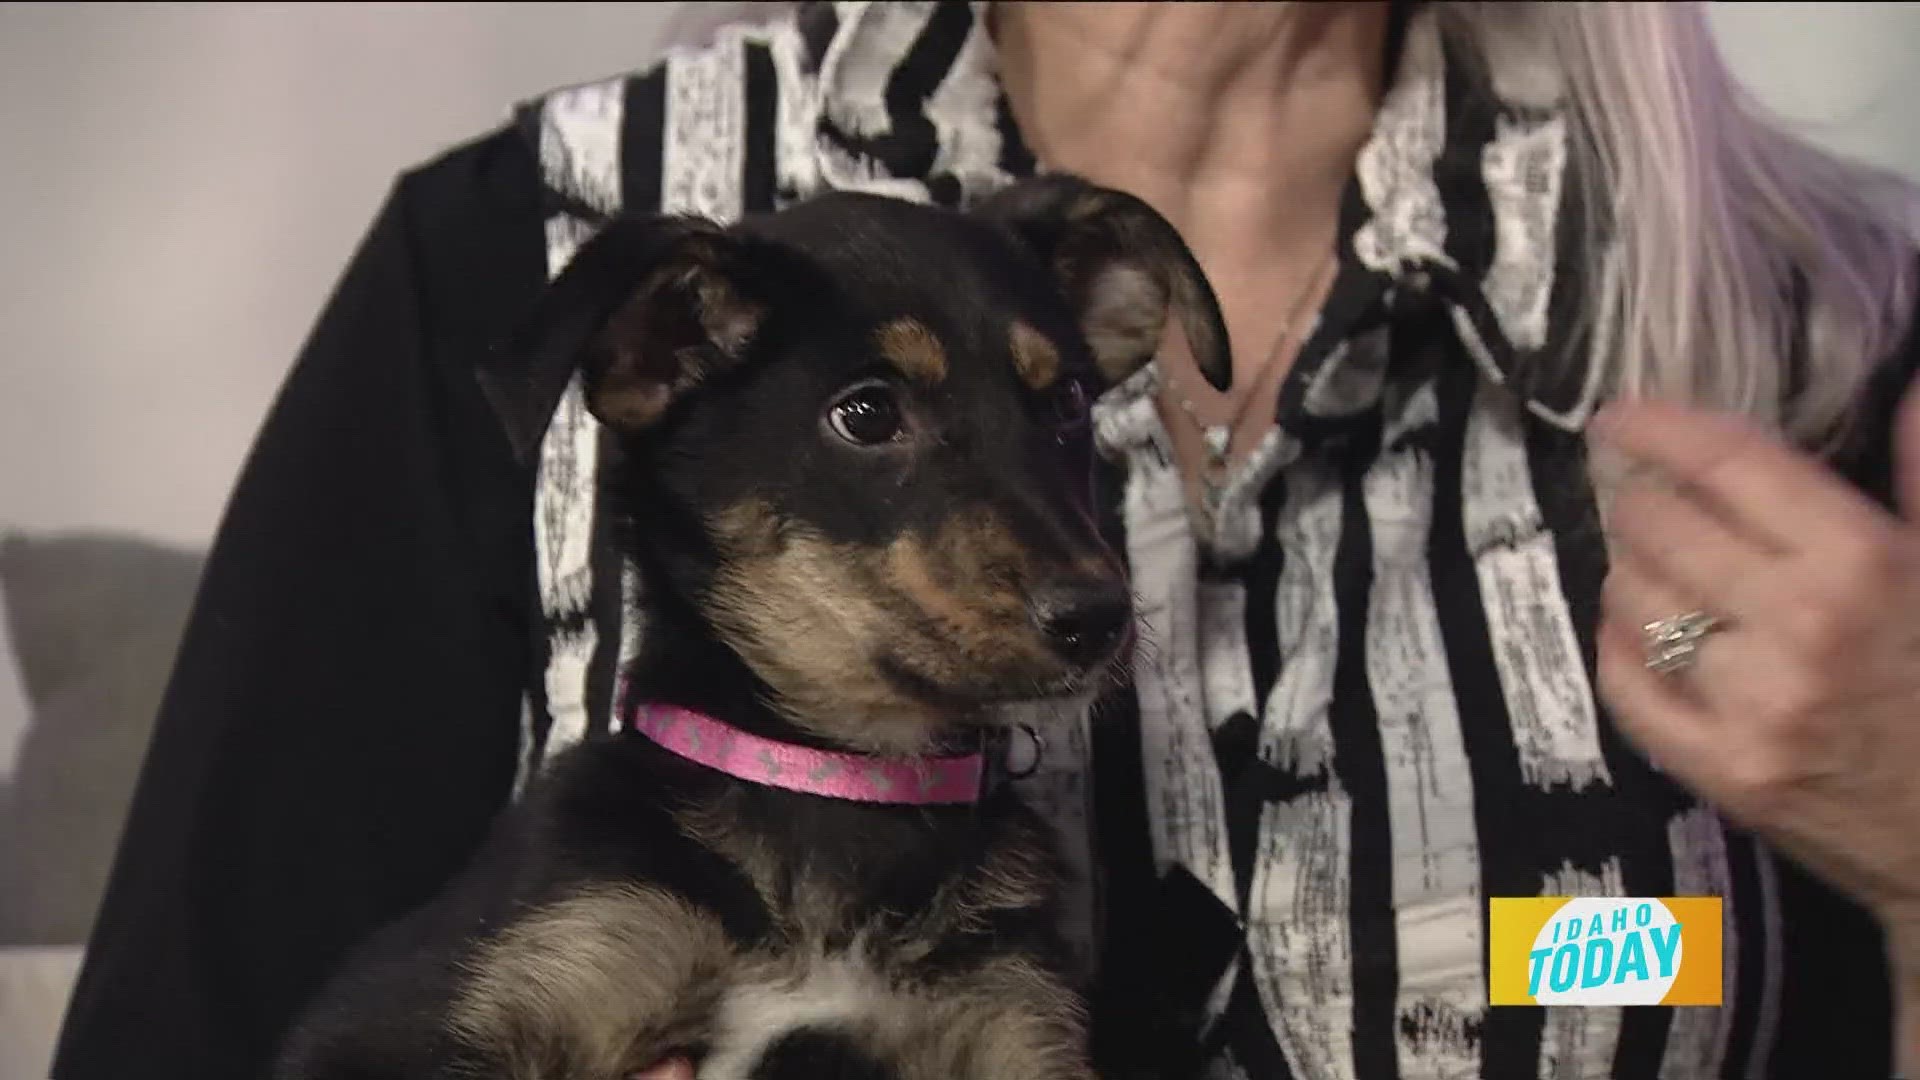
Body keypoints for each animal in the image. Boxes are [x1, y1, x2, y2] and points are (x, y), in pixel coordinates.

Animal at [270, 174, 1228, 1076]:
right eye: (867, 414)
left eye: (1067, 401)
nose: (1099, 620)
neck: (840, 784)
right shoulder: (456, 998)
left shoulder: (1010, 1025)